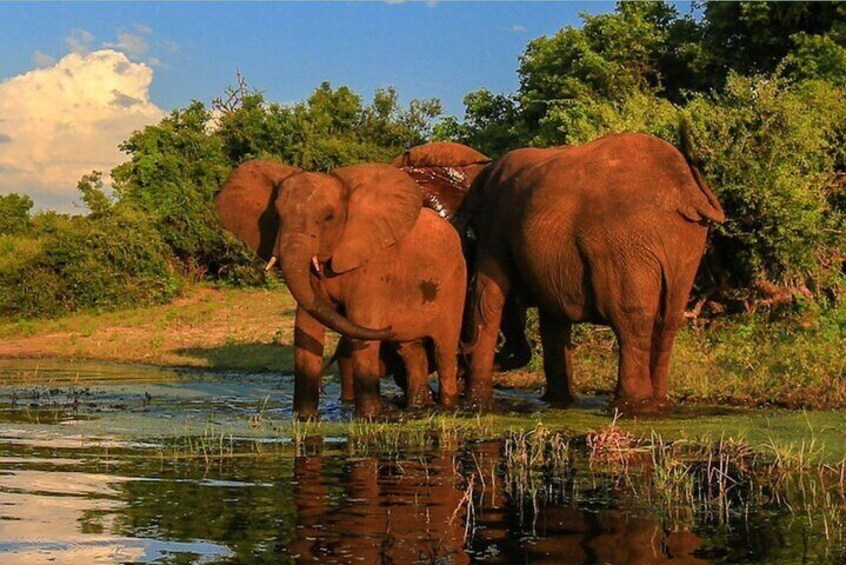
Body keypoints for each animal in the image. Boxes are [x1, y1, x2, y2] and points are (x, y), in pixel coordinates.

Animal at [215, 161, 466, 418]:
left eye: (328, 217)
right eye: (276, 215)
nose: (389, 326)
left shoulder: (373, 266)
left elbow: (362, 322)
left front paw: (369, 418)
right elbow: (306, 326)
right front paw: (304, 418)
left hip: (455, 283)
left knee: (444, 350)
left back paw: (446, 406)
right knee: (411, 351)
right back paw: (417, 406)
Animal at [462, 125, 725, 414]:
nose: (462, 359)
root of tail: (685, 189)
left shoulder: (495, 221)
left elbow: (487, 294)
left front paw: (475, 405)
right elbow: (552, 315)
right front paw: (559, 403)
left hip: (625, 241)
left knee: (631, 318)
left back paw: (630, 406)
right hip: (685, 240)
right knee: (668, 319)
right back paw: (656, 405)